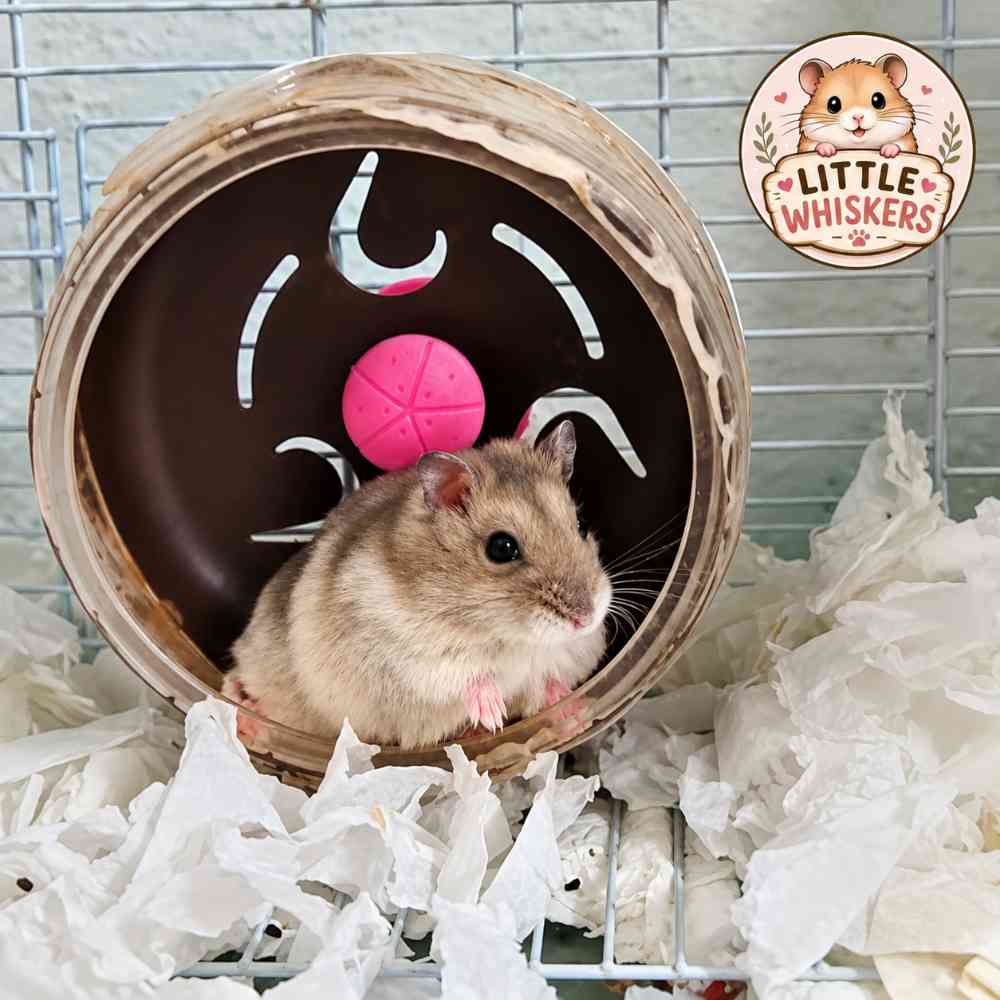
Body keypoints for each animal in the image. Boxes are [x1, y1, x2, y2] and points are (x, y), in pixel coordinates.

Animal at [223, 420, 612, 750]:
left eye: (580, 525)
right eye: (501, 548)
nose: (585, 618)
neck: (511, 637)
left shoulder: (567, 654)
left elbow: (548, 682)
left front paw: (573, 710)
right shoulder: (408, 658)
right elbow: (467, 676)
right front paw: (493, 716)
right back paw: (245, 717)